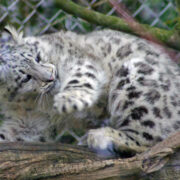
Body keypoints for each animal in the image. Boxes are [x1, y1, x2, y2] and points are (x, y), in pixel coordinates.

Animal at [0, 26, 180, 157]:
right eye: (26, 78)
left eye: (37, 57)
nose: (50, 77)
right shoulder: (28, 122)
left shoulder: (79, 61)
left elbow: (81, 76)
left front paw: (67, 101)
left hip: (137, 76)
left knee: (151, 138)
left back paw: (100, 136)